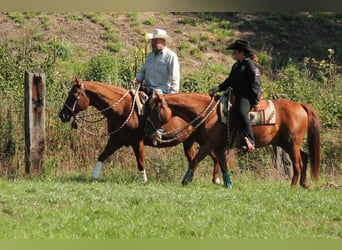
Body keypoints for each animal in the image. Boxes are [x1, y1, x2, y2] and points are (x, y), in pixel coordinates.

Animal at [58, 78, 220, 184]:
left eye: (74, 95)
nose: (63, 115)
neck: (122, 109)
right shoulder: (116, 140)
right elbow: (101, 157)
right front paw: (94, 177)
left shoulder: (137, 142)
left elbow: (140, 162)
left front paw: (144, 181)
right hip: (189, 142)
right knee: (195, 158)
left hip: (203, 140)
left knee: (212, 156)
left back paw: (216, 179)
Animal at [145, 93, 320, 188]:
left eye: (154, 109)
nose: (147, 129)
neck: (210, 114)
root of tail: (300, 106)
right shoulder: (218, 147)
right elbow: (223, 164)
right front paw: (227, 184)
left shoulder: (209, 144)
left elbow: (195, 160)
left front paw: (185, 180)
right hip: (287, 143)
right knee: (305, 157)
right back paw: (304, 184)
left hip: (291, 143)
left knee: (298, 164)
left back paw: (293, 187)